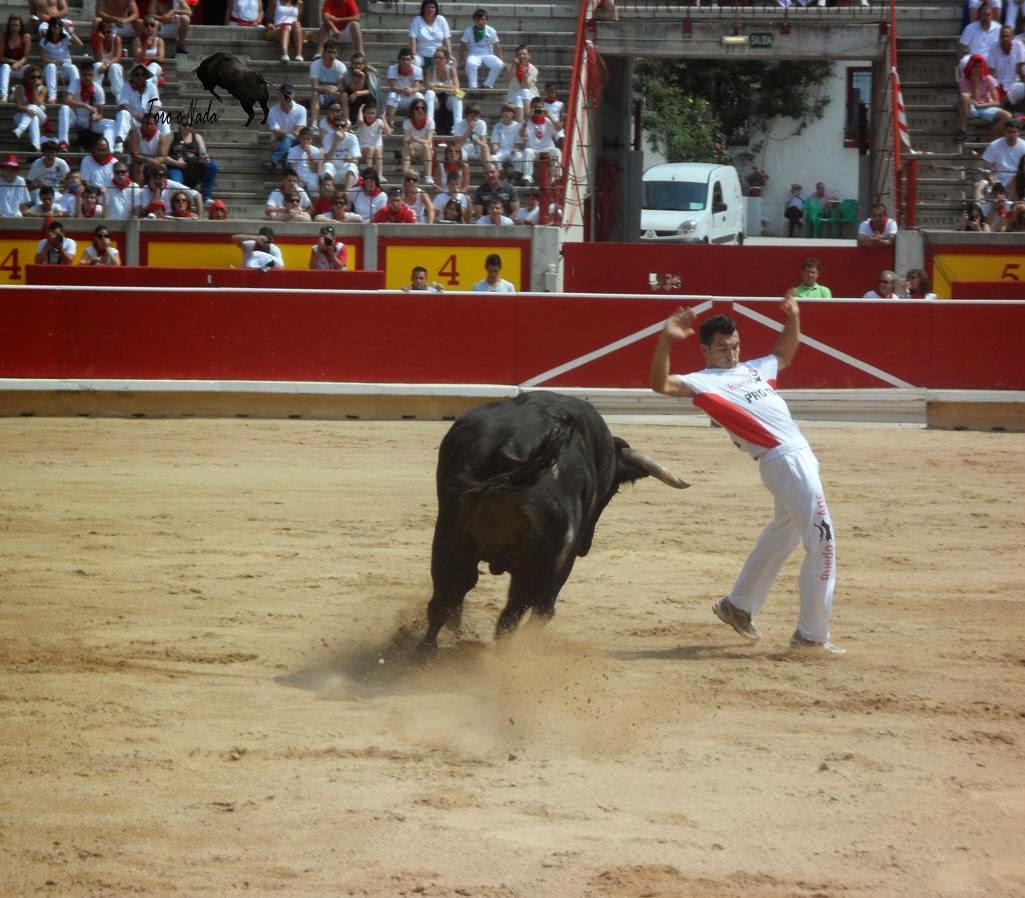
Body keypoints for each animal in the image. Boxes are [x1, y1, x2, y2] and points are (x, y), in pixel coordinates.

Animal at [420, 391, 688, 651]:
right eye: (612, 491)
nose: (585, 546)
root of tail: (511, 447)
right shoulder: (561, 561)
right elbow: (544, 608)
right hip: (538, 567)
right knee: (516, 614)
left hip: (449, 541)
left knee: (446, 599)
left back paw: (427, 653)